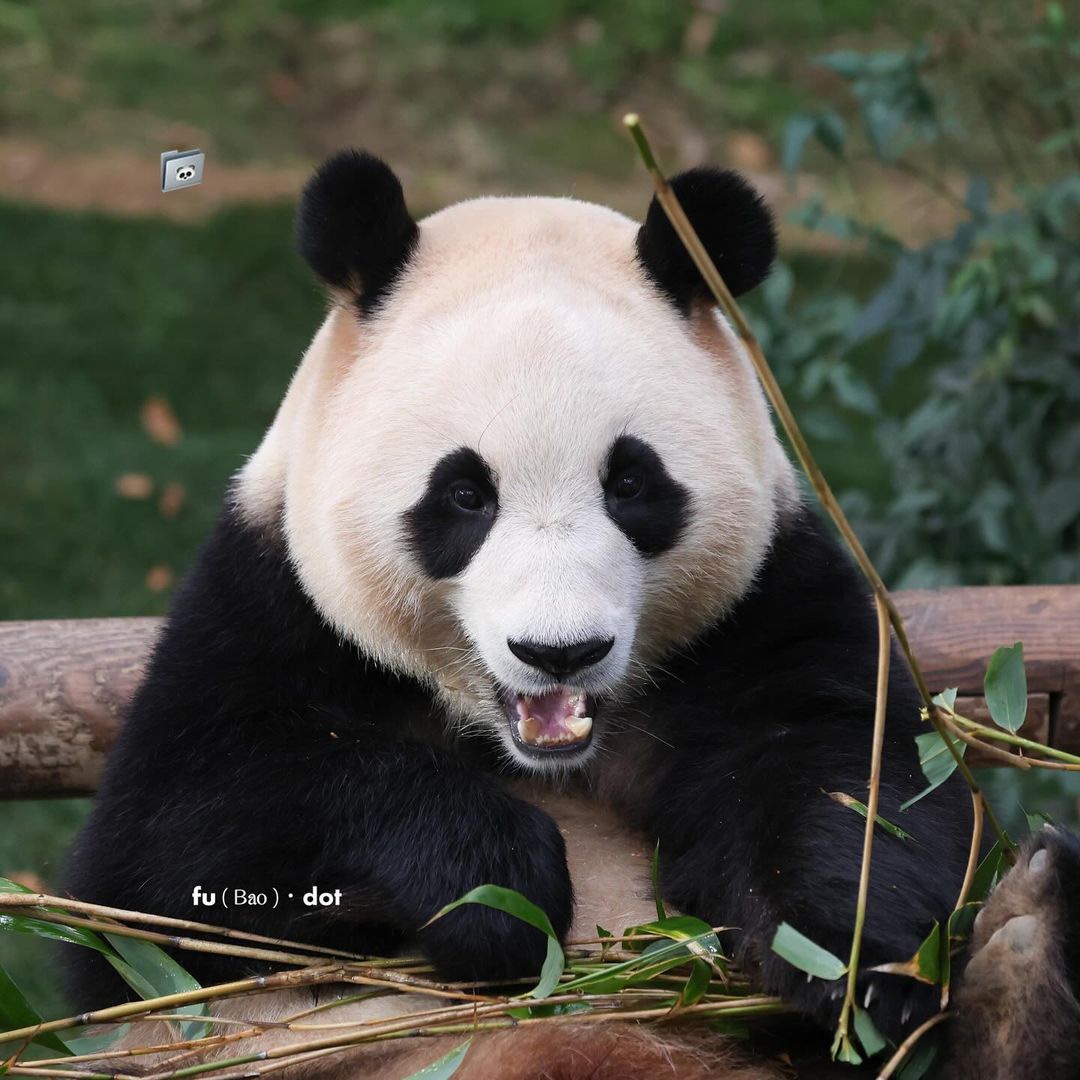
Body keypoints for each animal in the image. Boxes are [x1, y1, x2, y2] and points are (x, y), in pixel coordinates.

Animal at [65, 147, 1080, 1075]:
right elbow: (174, 853)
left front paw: (853, 963)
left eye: (630, 483)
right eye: (464, 495)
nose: (560, 652)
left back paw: (1027, 944)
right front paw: (497, 888)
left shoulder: (760, 608)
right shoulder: (272, 606)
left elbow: (846, 769)